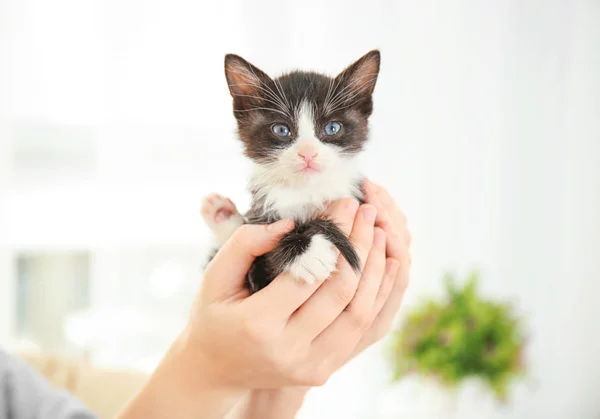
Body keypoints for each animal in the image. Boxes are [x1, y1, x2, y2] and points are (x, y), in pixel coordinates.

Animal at [200, 49, 380, 294]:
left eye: (332, 128)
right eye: (281, 130)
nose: (308, 153)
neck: (305, 191)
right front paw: (307, 254)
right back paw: (221, 214)